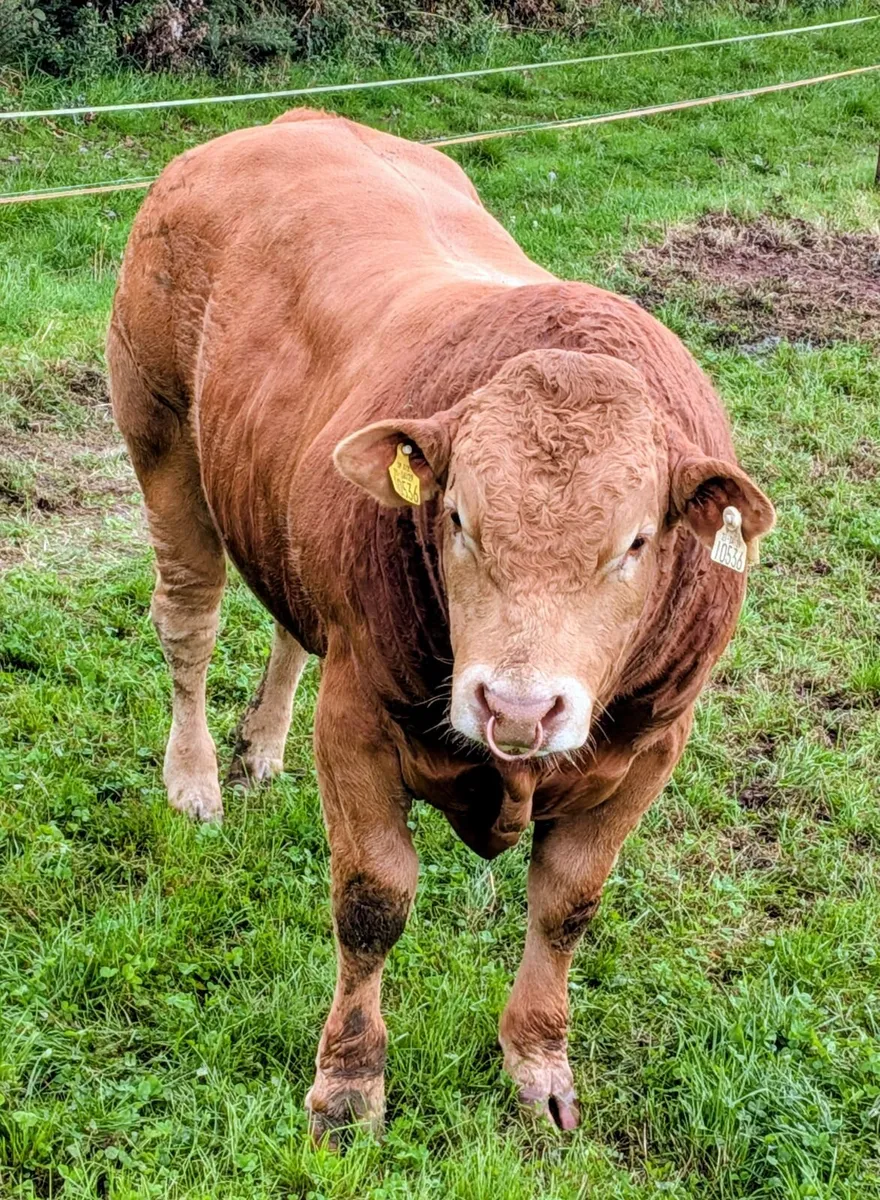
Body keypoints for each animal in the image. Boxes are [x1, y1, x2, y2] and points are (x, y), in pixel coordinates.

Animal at [107, 108, 775, 1142]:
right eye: (457, 517)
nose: (518, 706)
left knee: (288, 625)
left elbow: (568, 906)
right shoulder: (356, 722)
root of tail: (277, 125)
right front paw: (348, 1088)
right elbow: (372, 902)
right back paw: (197, 781)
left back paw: (261, 747)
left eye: (635, 542)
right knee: (190, 623)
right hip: (163, 438)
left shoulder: (653, 747)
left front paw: (539, 1066)